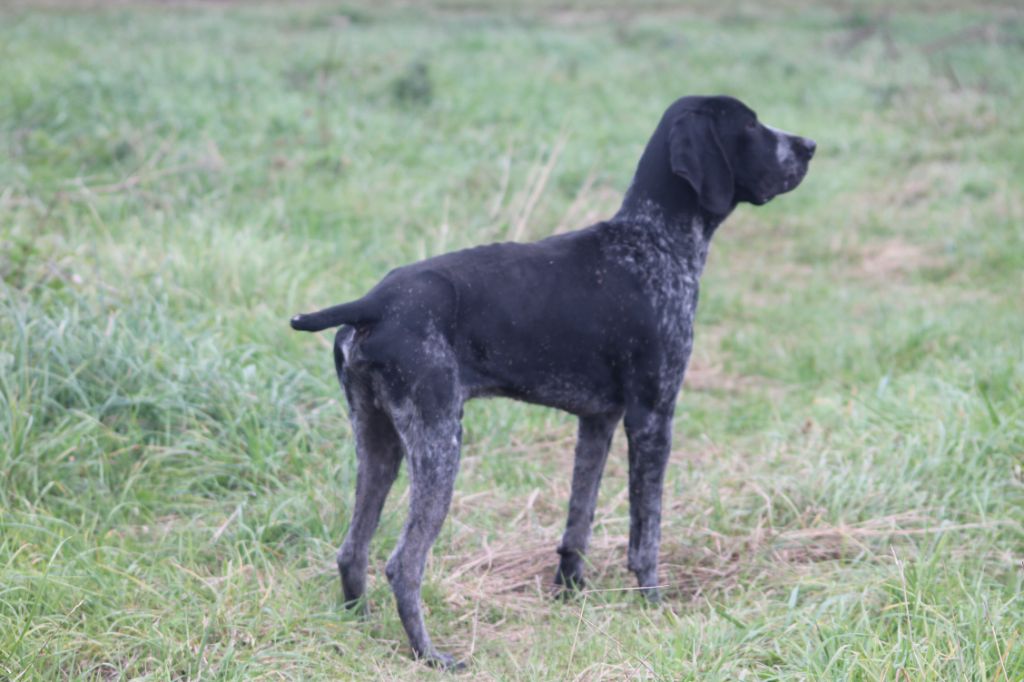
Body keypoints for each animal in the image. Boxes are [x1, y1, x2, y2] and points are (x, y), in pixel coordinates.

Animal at [290, 94, 815, 663]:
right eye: (751, 125)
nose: (810, 145)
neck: (652, 239)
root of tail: (375, 302)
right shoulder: (653, 417)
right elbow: (646, 533)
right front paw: (653, 605)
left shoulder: (598, 421)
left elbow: (577, 520)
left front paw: (570, 594)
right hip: (439, 443)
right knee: (403, 563)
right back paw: (430, 655)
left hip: (379, 442)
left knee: (352, 549)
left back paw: (359, 627)